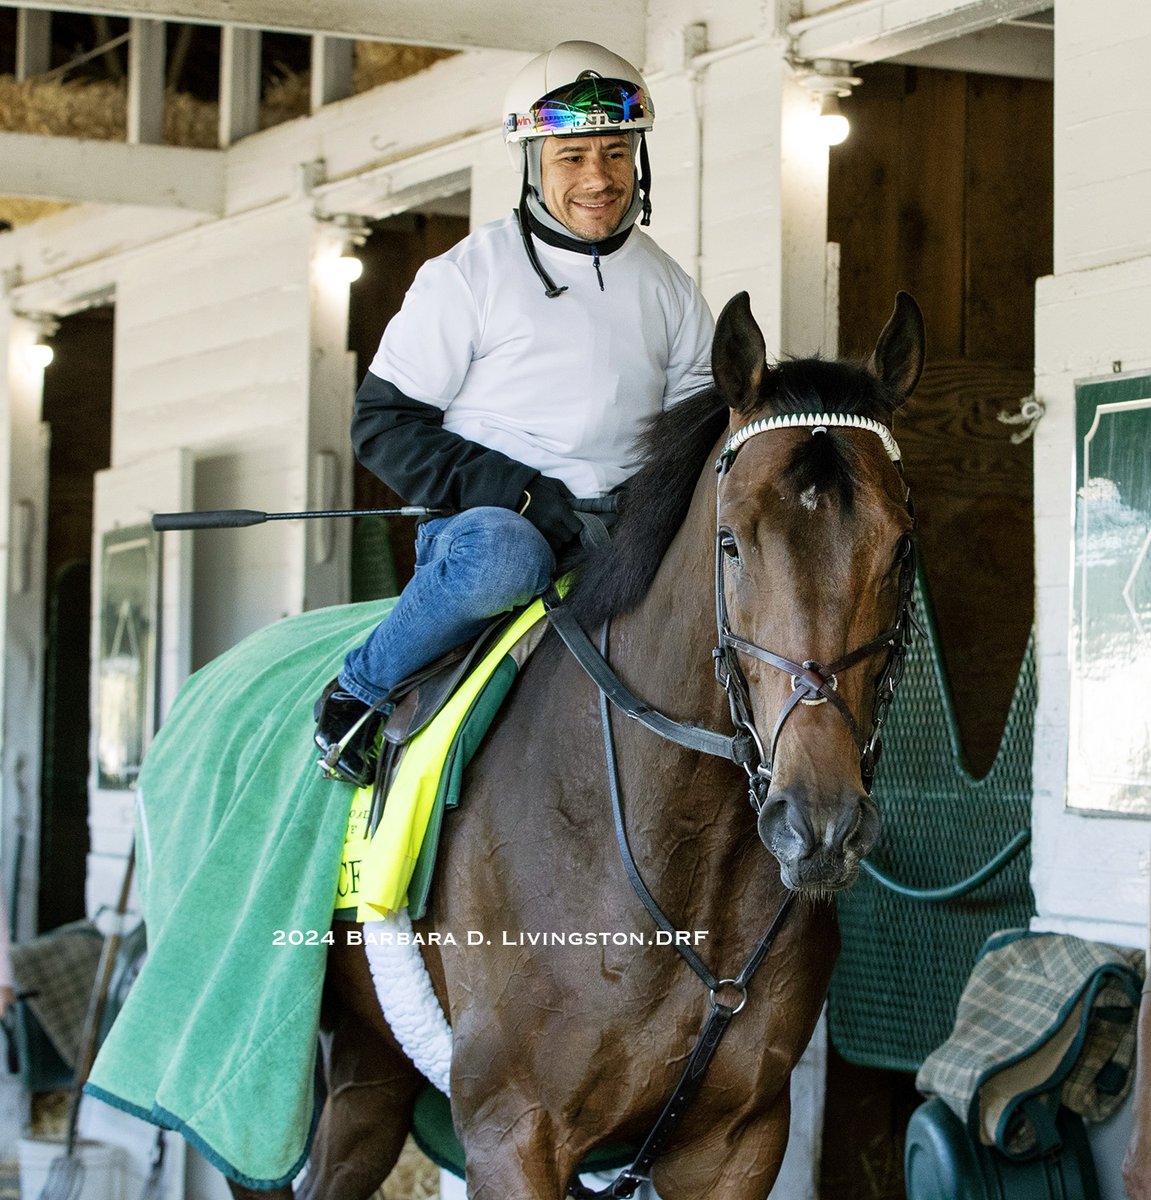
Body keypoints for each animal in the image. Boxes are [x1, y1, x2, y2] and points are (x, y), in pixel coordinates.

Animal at [226, 290, 926, 1200]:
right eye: (731, 542)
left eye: (900, 546)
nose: (819, 824)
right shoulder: (510, 1131)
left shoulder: (737, 1141)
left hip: (369, 1061)